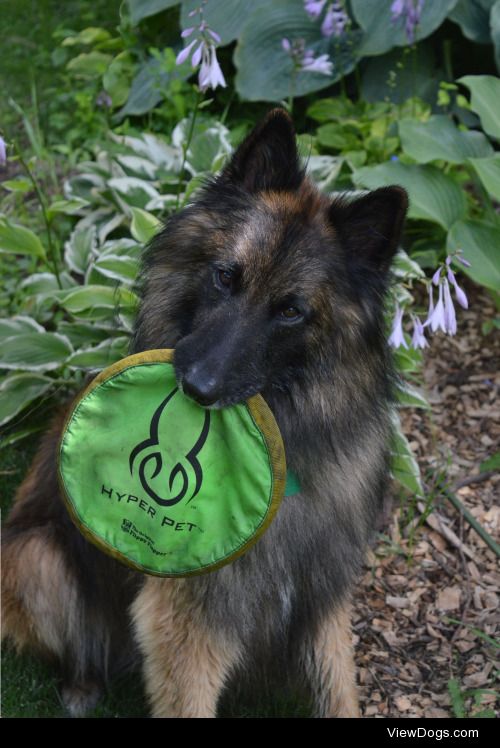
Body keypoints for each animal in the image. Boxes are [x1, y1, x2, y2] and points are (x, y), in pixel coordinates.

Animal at [0, 108, 406, 716]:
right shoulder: (184, 617)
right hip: (36, 560)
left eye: (290, 311)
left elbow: (339, 691)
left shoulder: (321, 596)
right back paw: (81, 686)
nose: (197, 387)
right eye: (225, 276)